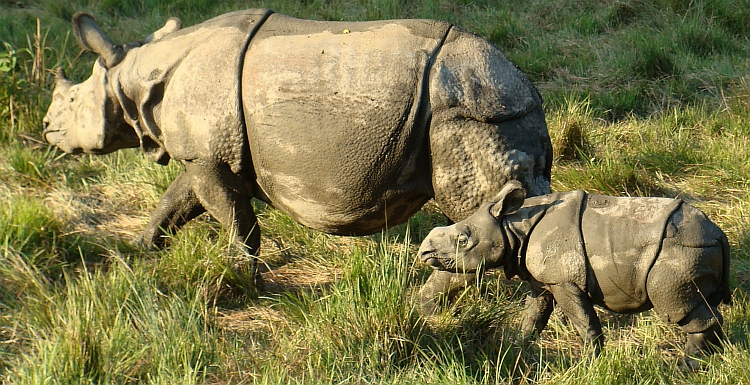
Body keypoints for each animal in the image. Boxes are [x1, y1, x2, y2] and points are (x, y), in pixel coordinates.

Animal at [44, 8, 556, 296]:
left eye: (72, 101)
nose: (47, 128)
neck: (136, 75)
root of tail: (520, 84)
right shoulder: (204, 155)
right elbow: (175, 201)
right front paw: (141, 248)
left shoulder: (209, 159)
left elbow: (236, 222)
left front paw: (241, 281)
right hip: (495, 110)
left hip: (467, 115)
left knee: (477, 208)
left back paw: (423, 303)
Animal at [420, 182, 732, 358]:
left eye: (463, 240)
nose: (425, 252)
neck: (511, 225)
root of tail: (718, 233)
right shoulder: (543, 281)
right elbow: (533, 317)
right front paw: (518, 349)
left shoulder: (564, 282)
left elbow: (583, 320)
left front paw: (591, 361)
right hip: (696, 248)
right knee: (702, 303)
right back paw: (711, 358)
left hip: (681, 251)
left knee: (677, 305)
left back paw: (685, 366)